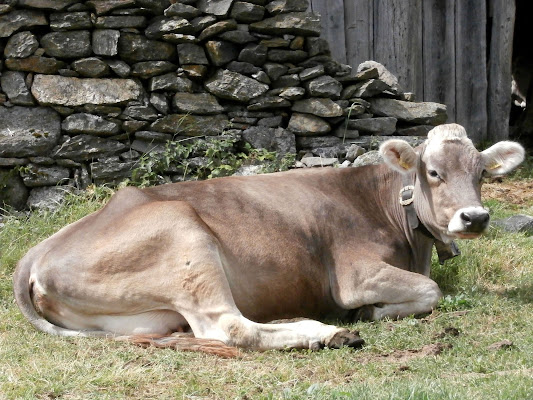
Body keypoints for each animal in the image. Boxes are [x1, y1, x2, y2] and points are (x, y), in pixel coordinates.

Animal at [12, 124, 524, 356]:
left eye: (482, 173)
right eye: (433, 172)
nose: (475, 217)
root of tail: (34, 255)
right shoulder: (354, 274)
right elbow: (431, 290)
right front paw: (370, 311)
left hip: (141, 317)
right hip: (184, 238)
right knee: (229, 327)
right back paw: (328, 332)